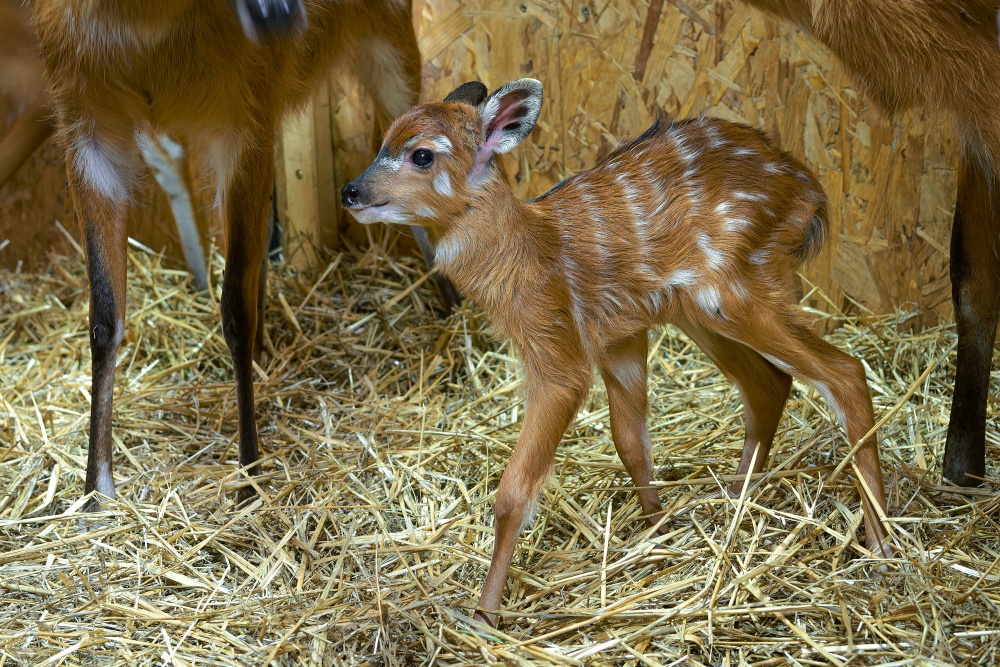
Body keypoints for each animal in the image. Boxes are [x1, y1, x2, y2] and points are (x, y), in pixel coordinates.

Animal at [344, 78, 892, 628]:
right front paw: (656, 531)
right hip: (697, 309)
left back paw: (881, 547)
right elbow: (630, 440)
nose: (351, 191)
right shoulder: (617, 336)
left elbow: (514, 491)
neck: (527, 257)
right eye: (383, 139)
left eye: (421, 154)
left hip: (740, 284)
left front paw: (485, 615)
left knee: (845, 371)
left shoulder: (558, 350)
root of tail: (811, 192)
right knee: (770, 383)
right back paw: (734, 502)